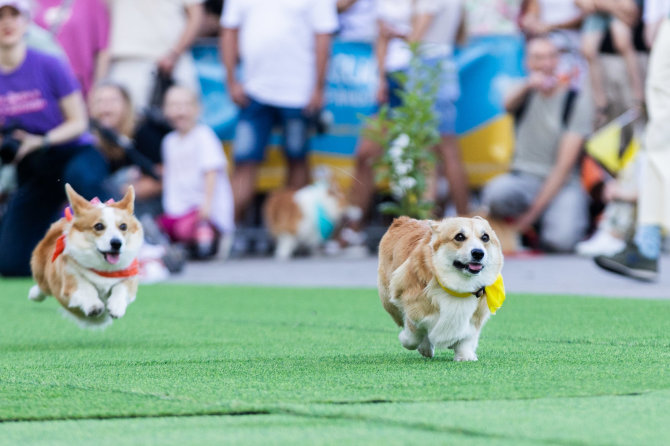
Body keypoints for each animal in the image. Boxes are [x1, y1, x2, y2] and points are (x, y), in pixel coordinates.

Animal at [29, 183, 144, 326]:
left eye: (123, 226)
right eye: (99, 226)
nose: (117, 243)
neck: (104, 269)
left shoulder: (130, 275)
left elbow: (121, 288)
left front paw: (116, 307)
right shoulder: (70, 277)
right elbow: (85, 287)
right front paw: (94, 306)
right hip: (41, 272)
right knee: (43, 286)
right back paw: (33, 294)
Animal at [380, 217, 506, 362]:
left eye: (485, 237)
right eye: (459, 236)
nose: (478, 253)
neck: (458, 288)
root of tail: (402, 219)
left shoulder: (475, 319)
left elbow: (467, 339)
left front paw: (465, 356)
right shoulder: (412, 306)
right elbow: (413, 335)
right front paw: (412, 341)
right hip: (388, 300)